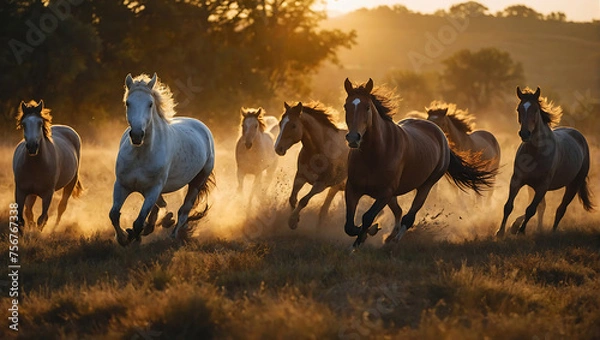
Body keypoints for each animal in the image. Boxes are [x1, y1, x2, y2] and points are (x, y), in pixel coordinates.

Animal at [12, 100, 82, 234]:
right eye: (24, 124)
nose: (32, 146)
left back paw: (54, 229)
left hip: (71, 182)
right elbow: (22, 219)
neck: (35, 166)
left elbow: (42, 219)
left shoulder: (48, 194)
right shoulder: (20, 191)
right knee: (29, 211)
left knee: (61, 207)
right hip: (31, 193)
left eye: (40, 123)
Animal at [109, 73, 216, 246]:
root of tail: (202, 126)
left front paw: (133, 237)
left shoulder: (153, 189)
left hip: (197, 182)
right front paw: (123, 238)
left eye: (150, 104)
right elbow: (114, 214)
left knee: (183, 211)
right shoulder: (122, 185)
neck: (140, 155)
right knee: (160, 207)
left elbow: (138, 221)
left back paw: (172, 235)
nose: (137, 135)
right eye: (128, 103)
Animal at [342, 78, 496, 246]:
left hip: (426, 185)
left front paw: (362, 239)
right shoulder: (353, 189)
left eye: (367, 107)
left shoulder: (385, 193)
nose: (353, 138)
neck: (375, 154)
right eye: (346, 106)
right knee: (398, 211)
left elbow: (367, 217)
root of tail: (441, 135)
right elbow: (349, 226)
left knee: (408, 217)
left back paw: (396, 238)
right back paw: (390, 236)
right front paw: (366, 234)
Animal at [494, 87, 592, 236]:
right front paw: (501, 232)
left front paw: (520, 230)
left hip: (573, 185)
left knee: (560, 209)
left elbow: (530, 209)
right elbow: (508, 206)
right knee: (543, 207)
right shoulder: (517, 180)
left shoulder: (542, 186)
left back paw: (551, 232)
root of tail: (579, 136)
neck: (536, 152)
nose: (525, 134)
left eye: (535, 110)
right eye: (519, 109)